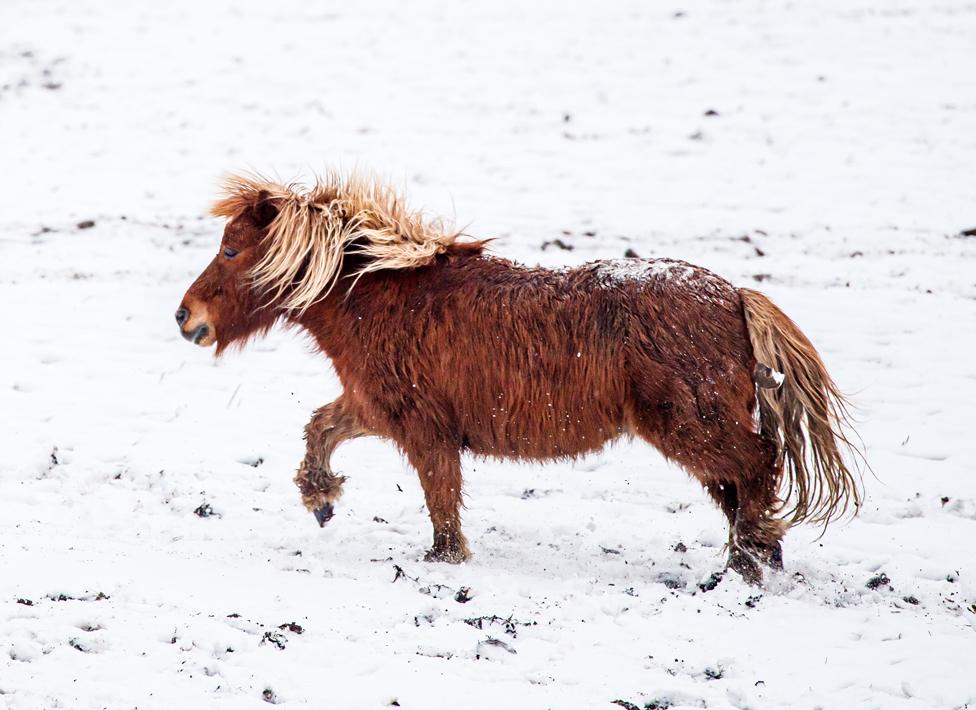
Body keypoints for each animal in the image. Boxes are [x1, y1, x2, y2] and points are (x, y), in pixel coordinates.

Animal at [177, 172, 860, 584]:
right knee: (742, 483)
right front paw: (320, 498)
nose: (187, 317)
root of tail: (736, 297)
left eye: (232, 250)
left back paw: (752, 555)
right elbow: (321, 428)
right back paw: (757, 555)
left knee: (757, 466)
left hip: (692, 428)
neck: (384, 297)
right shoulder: (378, 408)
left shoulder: (425, 431)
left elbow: (441, 501)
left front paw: (442, 562)